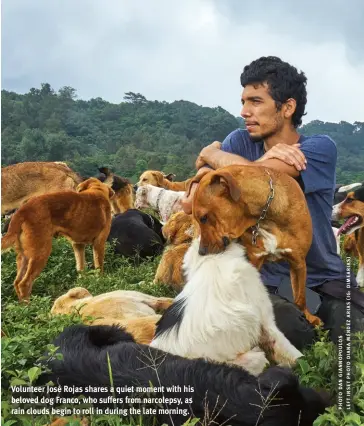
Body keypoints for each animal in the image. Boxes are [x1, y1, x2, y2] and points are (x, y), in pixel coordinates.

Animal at [186, 166, 320, 326]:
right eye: (200, 218)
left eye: (204, 217)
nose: (201, 251)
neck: (265, 217)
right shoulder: (255, 260)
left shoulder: (298, 262)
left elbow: (301, 298)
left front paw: (307, 316)